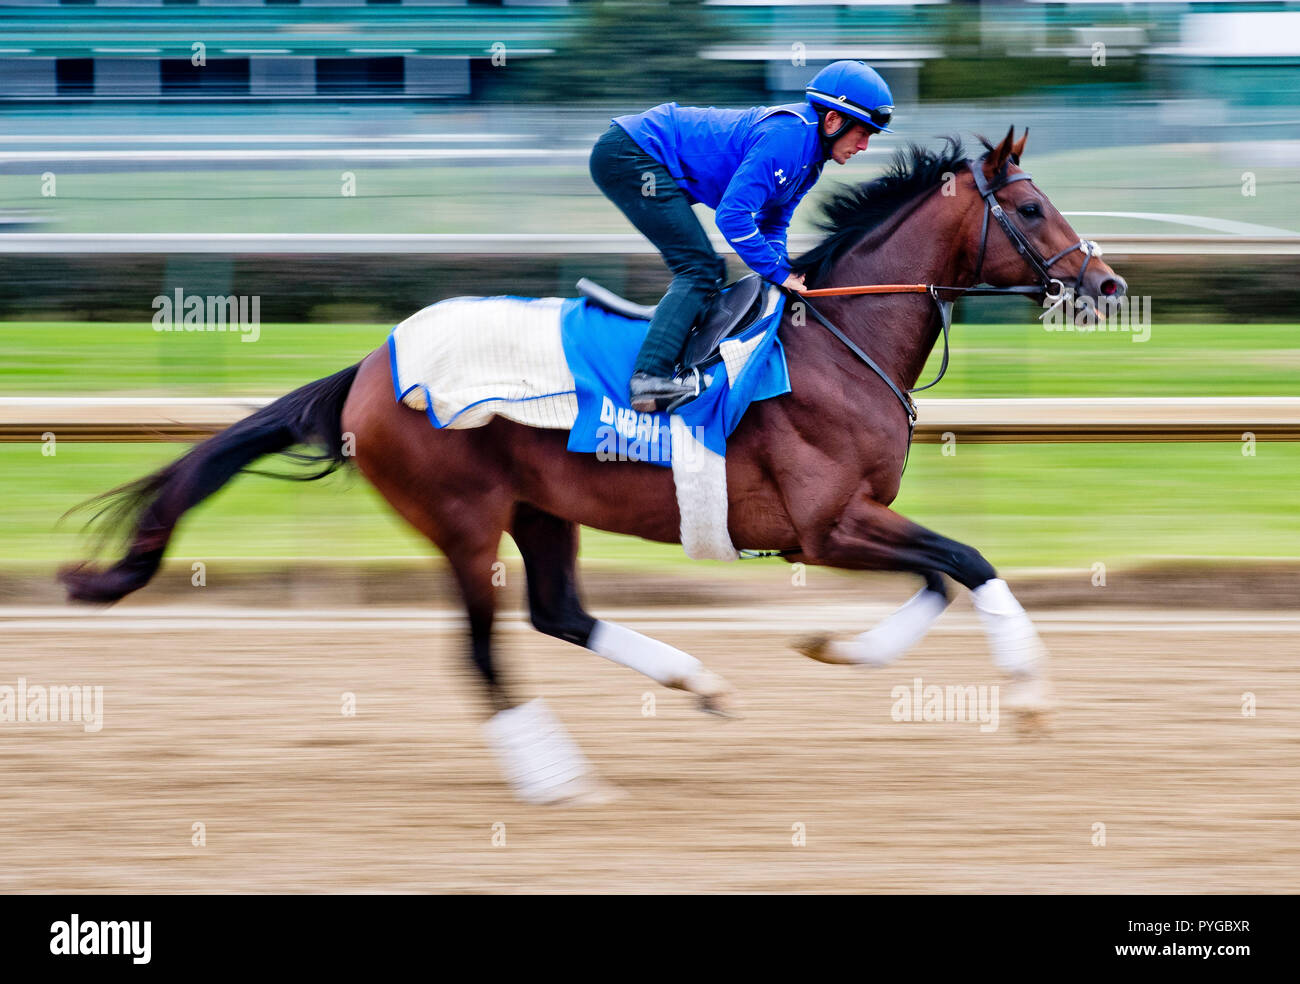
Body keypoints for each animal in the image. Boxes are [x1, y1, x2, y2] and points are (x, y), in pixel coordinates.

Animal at [58, 128, 1128, 805]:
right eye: (1030, 204)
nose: (1109, 283)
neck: (837, 340)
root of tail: (368, 365)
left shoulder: (847, 522)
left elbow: (944, 576)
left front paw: (836, 648)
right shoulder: (827, 524)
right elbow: (970, 562)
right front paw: (1029, 694)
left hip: (540, 506)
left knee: (559, 613)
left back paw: (697, 684)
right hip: (463, 517)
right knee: (486, 652)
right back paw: (556, 781)